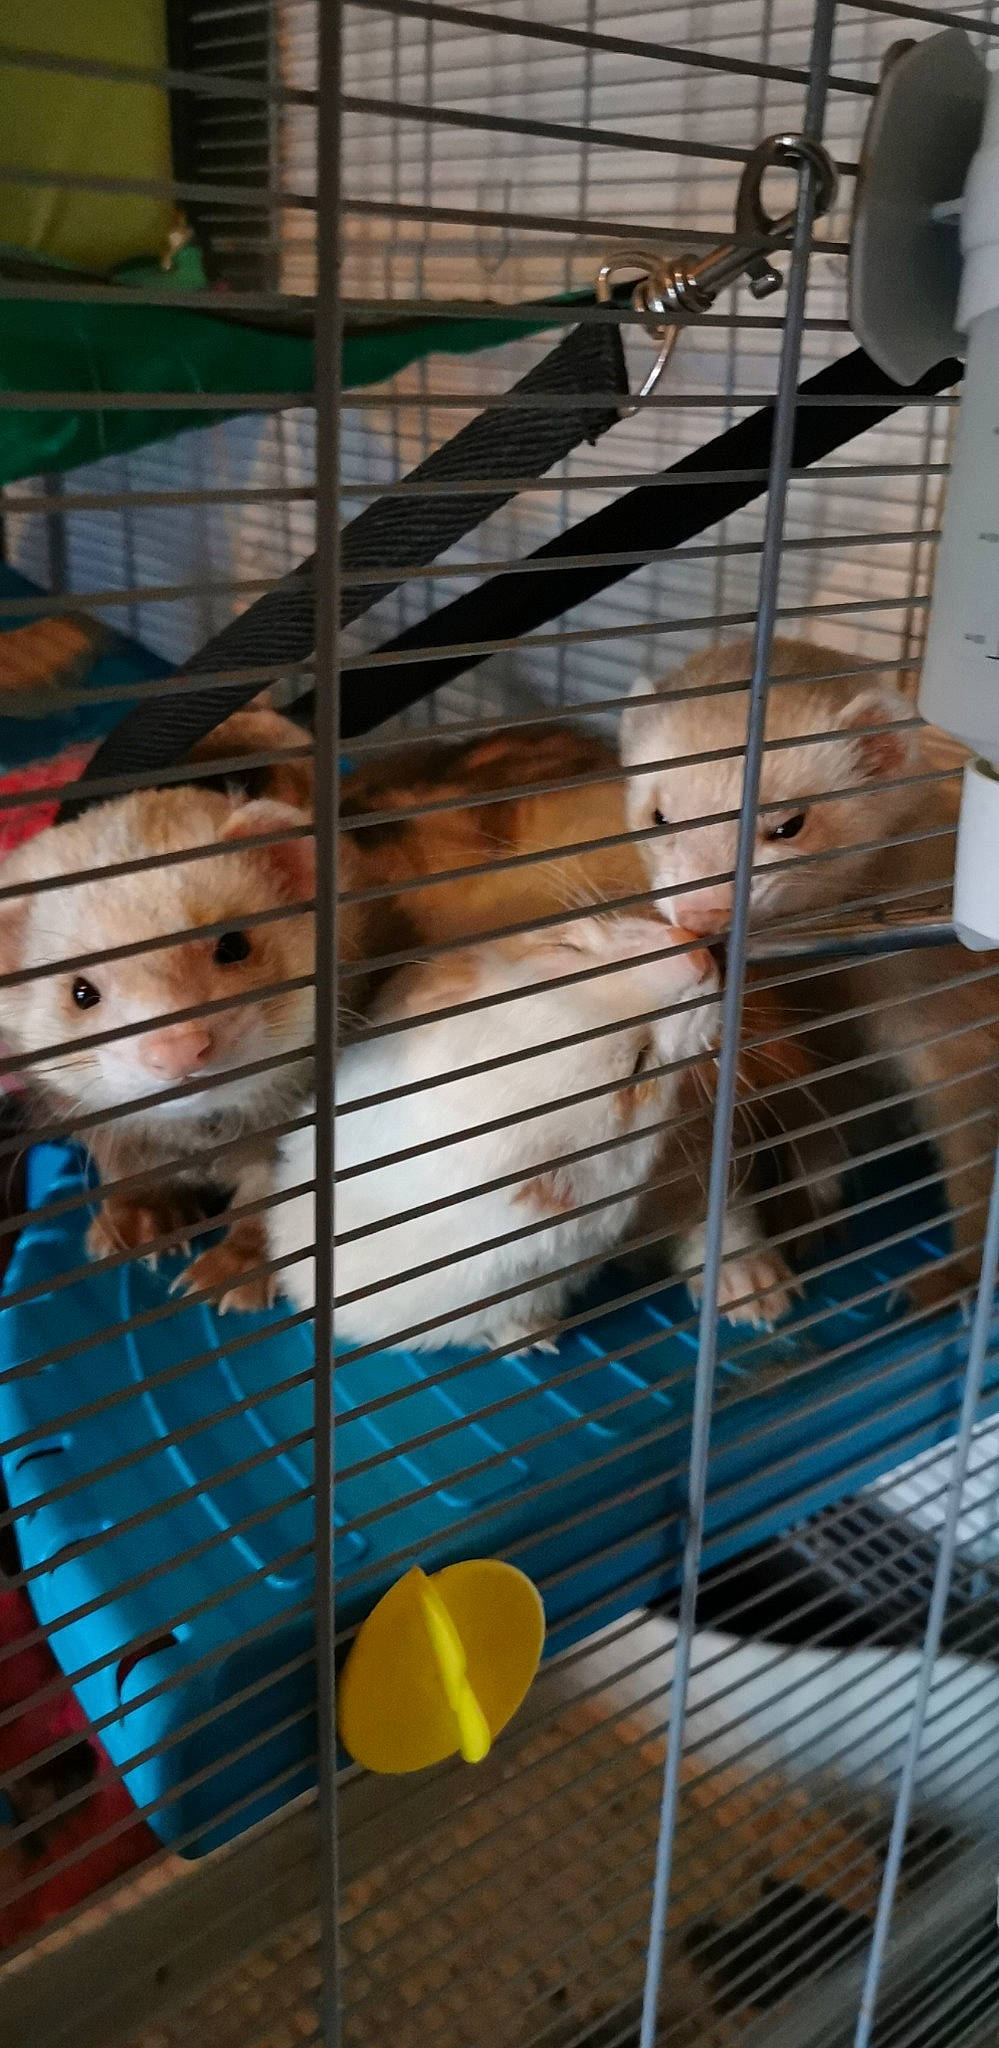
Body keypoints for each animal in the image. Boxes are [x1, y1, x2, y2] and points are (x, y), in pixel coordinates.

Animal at [0, 784, 317, 1310]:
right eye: (81, 991)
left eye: (234, 944)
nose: (178, 1048)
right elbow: (126, 1173)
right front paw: (139, 1219)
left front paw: (238, 1267)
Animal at [620, 635, 999, 1308]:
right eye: (659, 815)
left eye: (789, 824)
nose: (702, 910)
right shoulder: (803, 1050)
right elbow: (814, 1129)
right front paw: (802, 1212)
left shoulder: (953, 1032)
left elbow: (974, 1167)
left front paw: (954, 1277)